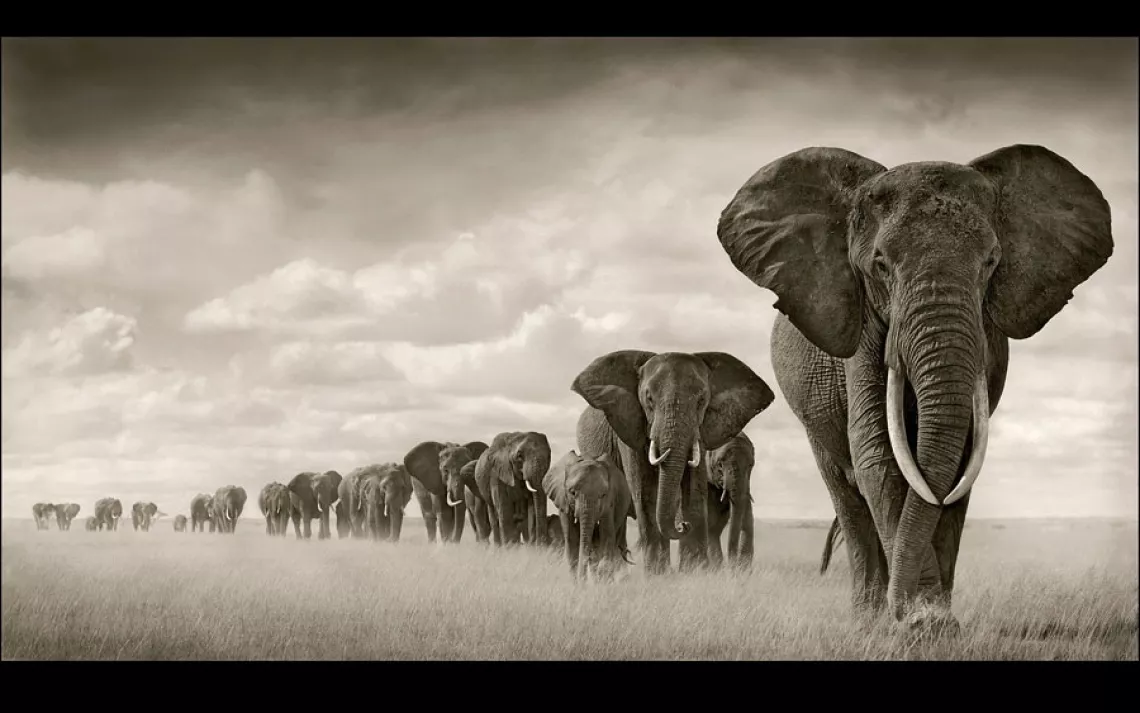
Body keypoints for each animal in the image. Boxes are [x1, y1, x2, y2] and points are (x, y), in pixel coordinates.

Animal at [543, 449, 635, 581]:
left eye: (603, 495)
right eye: (572, 492)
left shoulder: (610, 500)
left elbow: (606, 535)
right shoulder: (563, 499)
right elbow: (571, 539)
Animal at [705, 433, 756, 570]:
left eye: (751, 465)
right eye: (719, 464)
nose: (732, 567)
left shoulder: (746, 485)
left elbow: (748, 522)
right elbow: (710, 525)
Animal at [715, 144, 1114, 628]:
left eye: (991, 263)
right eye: (881, 264)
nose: (906, 612)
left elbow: (960, 460)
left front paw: (932, 621)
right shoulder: (863, 325)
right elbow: (878, 455)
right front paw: (920, 625)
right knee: (846, 494)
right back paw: (868, 619)